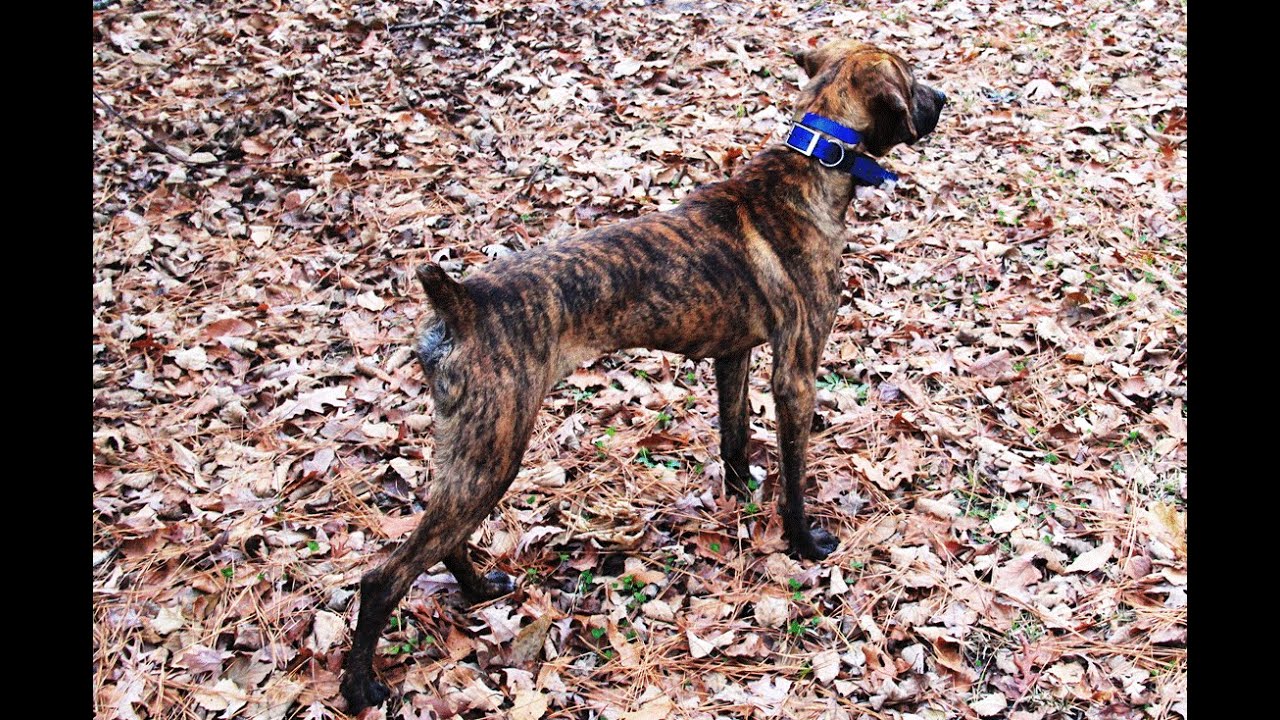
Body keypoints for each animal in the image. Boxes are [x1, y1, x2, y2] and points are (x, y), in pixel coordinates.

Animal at [340, 39, 942, 707]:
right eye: (912, 81)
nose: (943, 99)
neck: (815, 159)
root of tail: (461, 301)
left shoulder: (734, 355)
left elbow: (735, 438)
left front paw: (738, 499)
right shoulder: (797, 372)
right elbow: (793, 475)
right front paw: (803, 541)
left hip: (468, 451)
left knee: (440, 543)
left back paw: (475, 591)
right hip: (492, 453)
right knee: (384, 578)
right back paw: (361, 684)